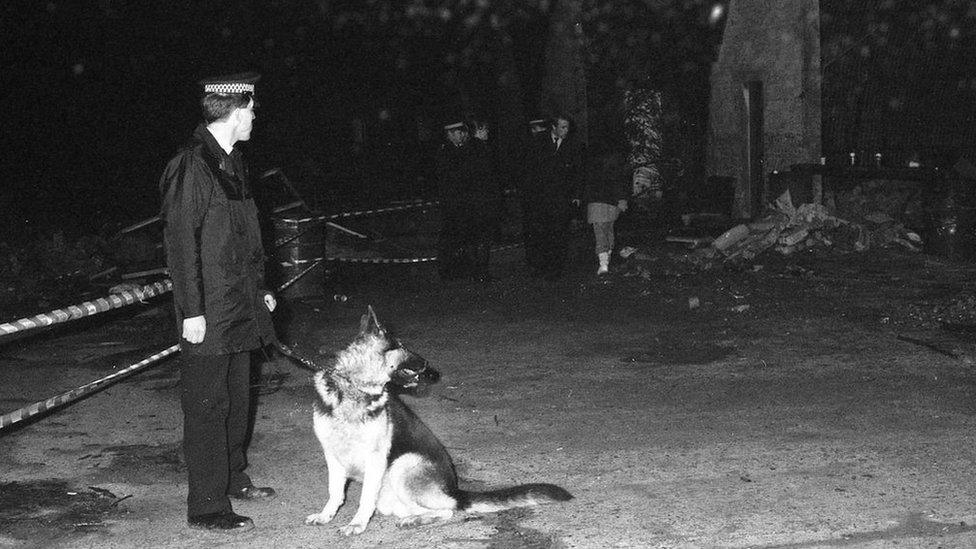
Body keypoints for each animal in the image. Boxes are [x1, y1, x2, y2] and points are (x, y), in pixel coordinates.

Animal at [296, 306, 572, 532]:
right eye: (401, 345)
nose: (429, 365)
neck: (354, 388)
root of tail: (454, 491)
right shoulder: (333, 457)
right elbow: (335, 492)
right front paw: (326, 516)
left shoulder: (375, 458)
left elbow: (364, 498)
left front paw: (357, 524)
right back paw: (413, 518)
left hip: (403, 465)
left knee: (449, 509)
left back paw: (416, 520)